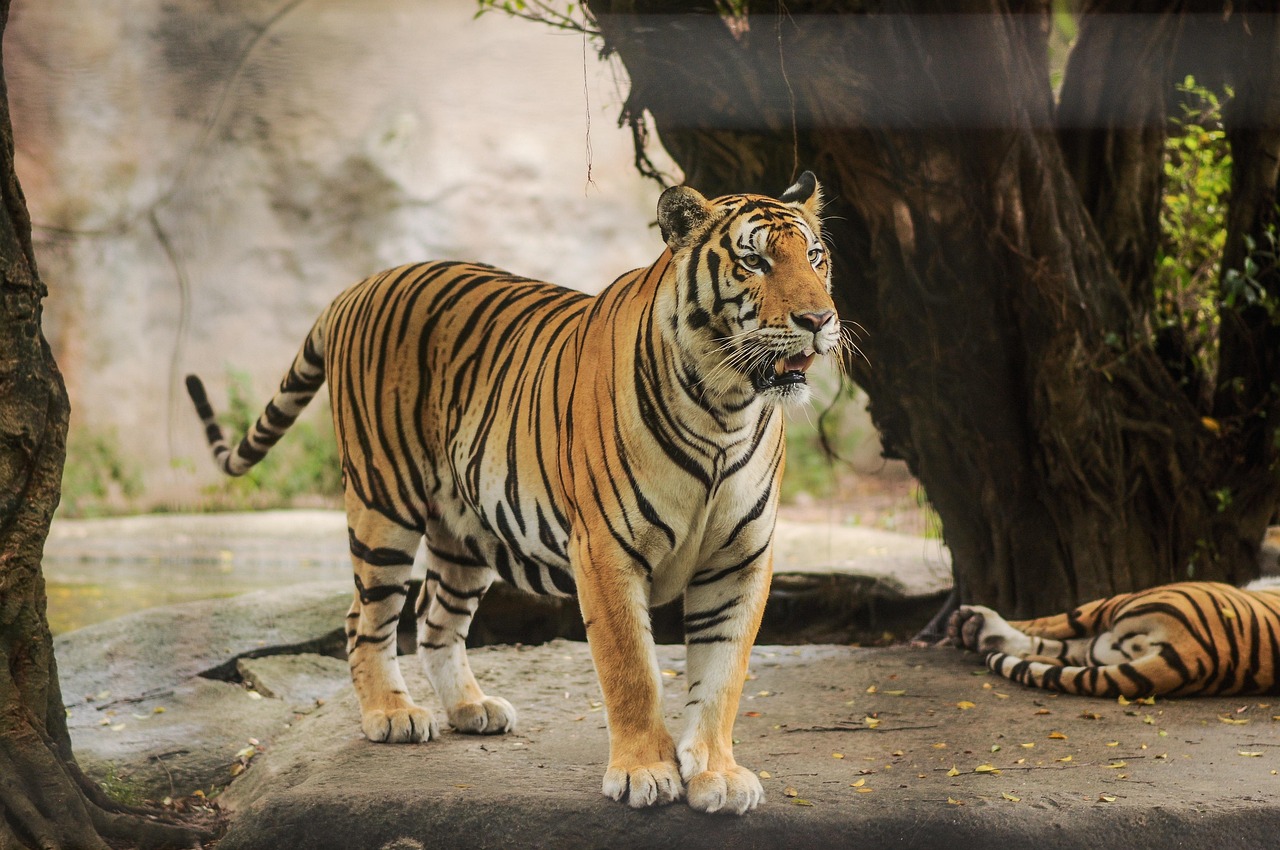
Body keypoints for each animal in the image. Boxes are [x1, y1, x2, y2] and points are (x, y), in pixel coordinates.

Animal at [185, 172, 841, 815]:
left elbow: (723, 674)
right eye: (754, 261)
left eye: (814, 257)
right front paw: (644, 773)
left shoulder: (741, 558)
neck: (726, 407)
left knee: (435, 618)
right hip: (382, 501)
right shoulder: (606, 550)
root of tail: (358, 286)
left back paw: (470, 708)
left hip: (465, 528)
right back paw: (392, 714)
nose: (818, 320)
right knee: (364, 618)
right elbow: (632, 668)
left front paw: (717, 775)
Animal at [947, 580, 1280, 697]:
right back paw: (976, 630)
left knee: (1052, 625)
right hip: (1106, 646)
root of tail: (1197, 656)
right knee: (1059, 647)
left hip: (1123, 600)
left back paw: (971, 624)